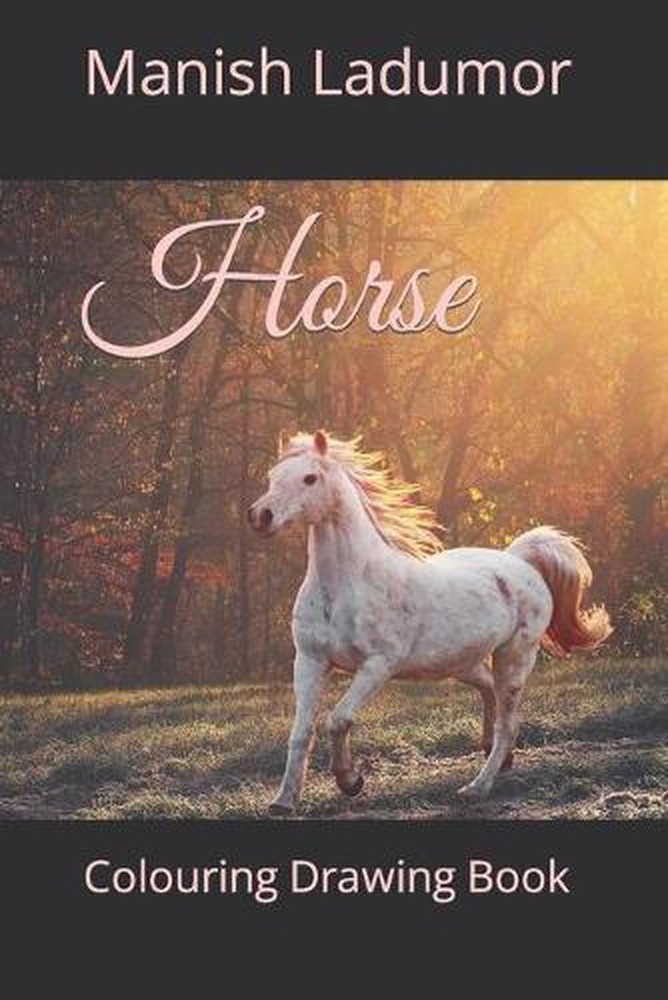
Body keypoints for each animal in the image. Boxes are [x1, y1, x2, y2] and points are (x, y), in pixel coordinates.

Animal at [248, 429, 612, 815]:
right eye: (272, 476)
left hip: (514, 657)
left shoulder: (378, 665)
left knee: (508, 724)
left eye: (310, 478)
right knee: (489, 691)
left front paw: (350, 781)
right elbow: (301, 733)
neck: (346, 585)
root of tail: (520, 561)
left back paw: (476, 787)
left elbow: (337, 719)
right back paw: (495, 755)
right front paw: (283, 801)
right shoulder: (310, 660)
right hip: (461, 662)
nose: (260, 516)